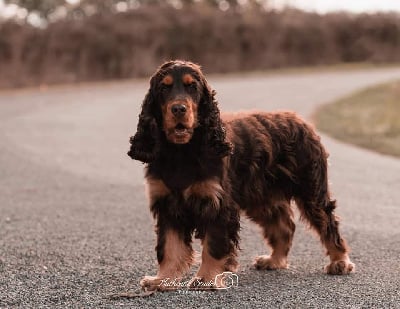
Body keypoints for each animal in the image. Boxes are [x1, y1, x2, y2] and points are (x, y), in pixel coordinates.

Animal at [127, 59, 354, 288]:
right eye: (164, 88)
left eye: (192, 87)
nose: (178, 109)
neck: (181, 152)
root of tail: (301, 120)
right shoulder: (168, 205)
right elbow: (169, 248)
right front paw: (162, 280)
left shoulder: (218, 204)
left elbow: (213, 245)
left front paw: (207, 278)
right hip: (262, 198)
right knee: (284, 225)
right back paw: (274, 260)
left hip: (311, 190)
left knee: (328, 223)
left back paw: (340, 262)